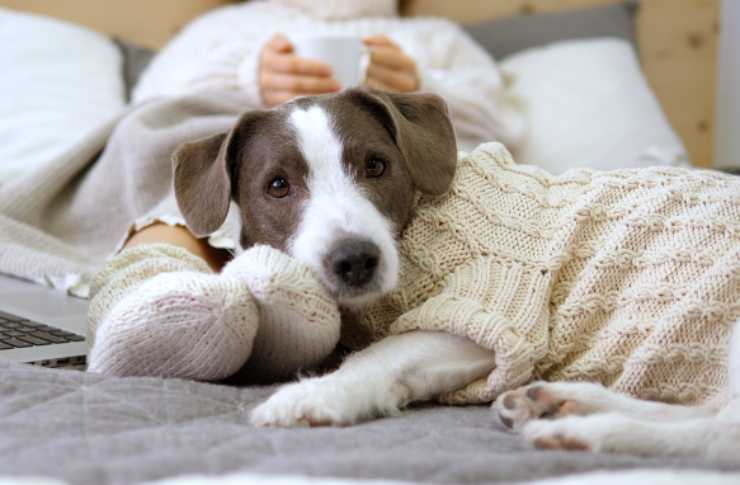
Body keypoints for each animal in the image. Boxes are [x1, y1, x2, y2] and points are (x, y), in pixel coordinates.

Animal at [175, 89, 740, 460]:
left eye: (376, 165)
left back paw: (591, 432)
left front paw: (318, 393)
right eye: (277, 185)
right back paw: (567, 402)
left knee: (722, 435)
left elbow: (379, 355)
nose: (355, 259)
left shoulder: (490, 310)